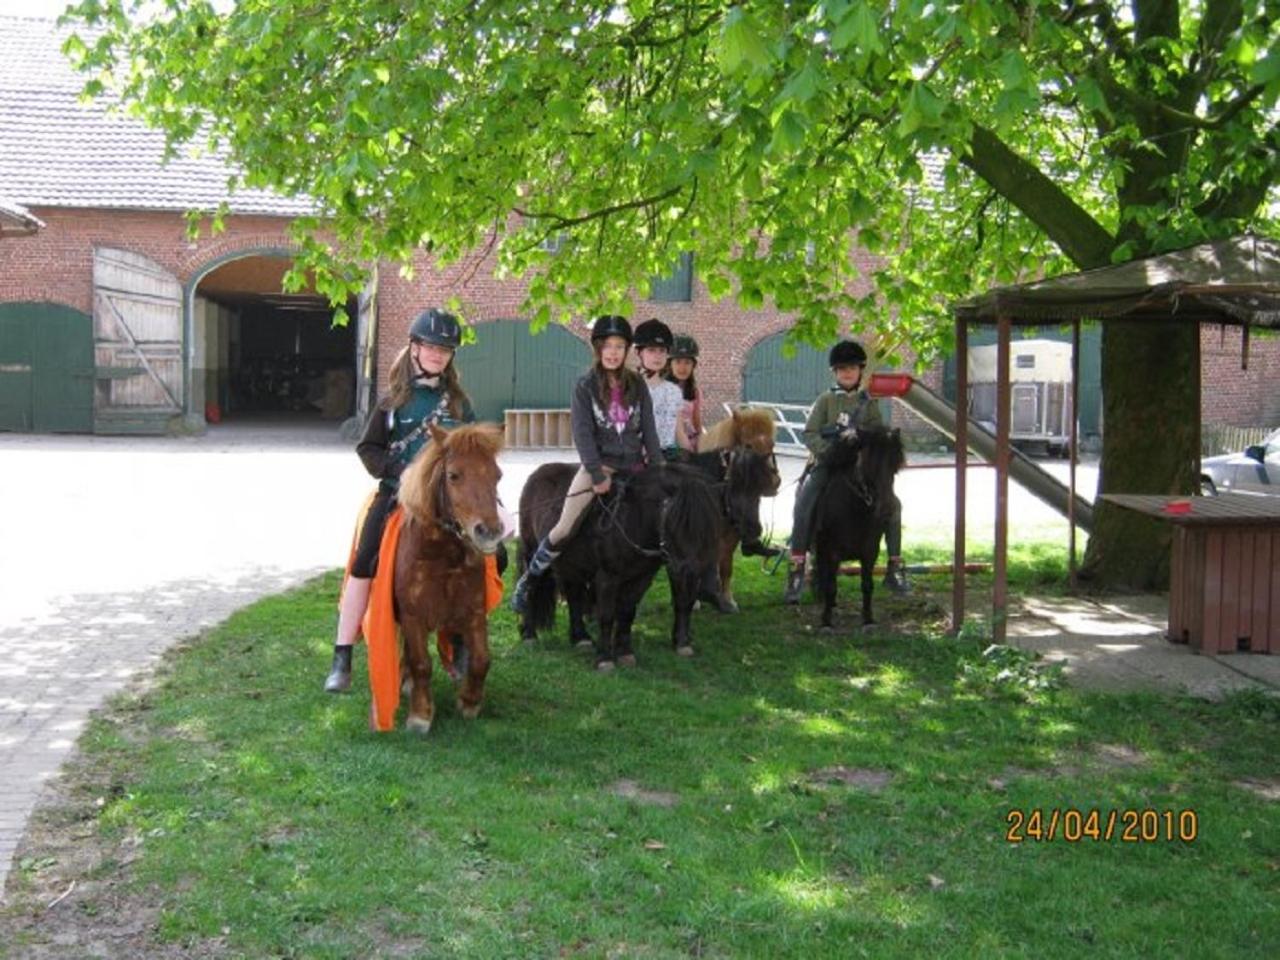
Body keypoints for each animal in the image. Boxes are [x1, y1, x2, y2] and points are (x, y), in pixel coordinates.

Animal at [393, 422, 505, 732]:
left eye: (497, 475)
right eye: (454, 475)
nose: (489, 533)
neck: (441, 556)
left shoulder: (474, 612)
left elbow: (481, 660)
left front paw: (469, 702)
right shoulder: (413, 615)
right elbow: (422, 663)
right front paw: (420, 715)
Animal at [517, 462, 722, 667]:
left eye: (707, 525)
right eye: (673, 519)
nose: (690, 573)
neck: (634, 519)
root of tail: (536, 474)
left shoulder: (642, 577)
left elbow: (627, 612)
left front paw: (624, 652)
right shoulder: (607, 577)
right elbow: (607, 615)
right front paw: (605, 658)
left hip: (571, 564)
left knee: (573, 595)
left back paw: (581, 638)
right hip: (533, 550)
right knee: (531, 586)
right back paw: (529, 634)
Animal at [697, 407, 782, 611]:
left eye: (772, 443)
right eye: (748, 445)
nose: (774, 483)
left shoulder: (732, 536)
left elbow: (726, 567)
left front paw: (728, 599)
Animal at [810, 425, 905, 629]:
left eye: (895, 465)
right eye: (867, 464)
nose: (887, 510)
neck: (855, 508)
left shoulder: (870, 551)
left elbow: (867, 585)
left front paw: (868, 620)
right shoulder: (831, 551)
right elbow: (831, 585)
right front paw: (826, 621)